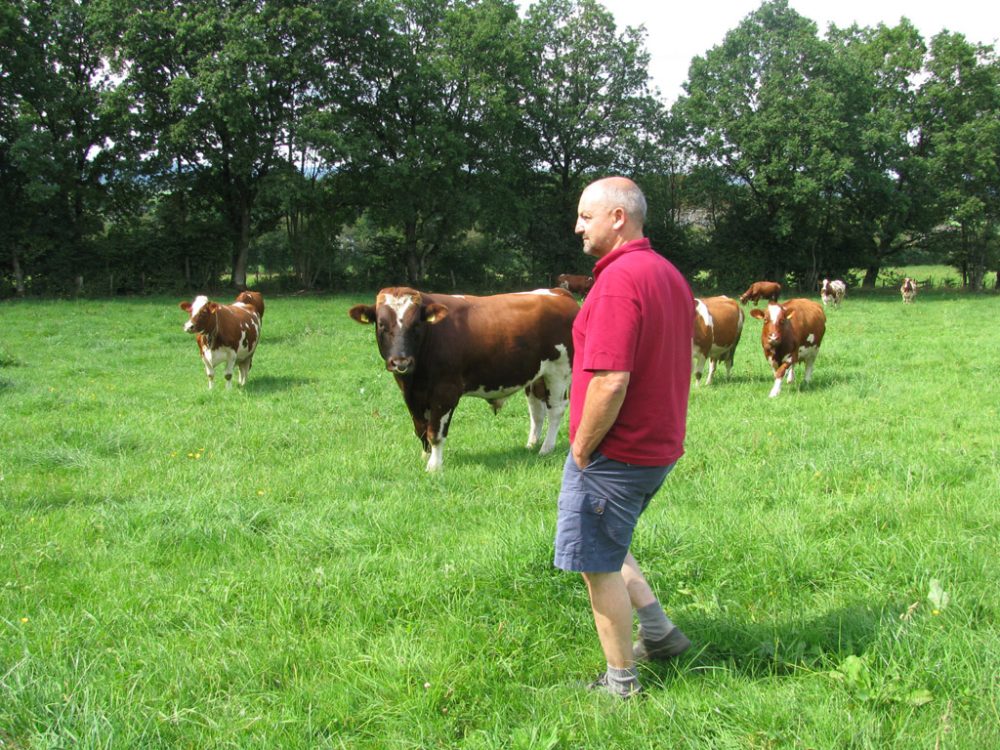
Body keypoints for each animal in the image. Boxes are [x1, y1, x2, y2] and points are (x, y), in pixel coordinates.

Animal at [348, 286, 580, 470]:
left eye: (416, 325)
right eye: (381, 324)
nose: (400, 361)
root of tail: (559, 293)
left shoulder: (445, 392)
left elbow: (435, 432)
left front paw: (434, 466)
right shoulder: (411, 396)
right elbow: (421, 429)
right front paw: (425, 457)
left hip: (559, 370)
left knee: (556, 409)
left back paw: (546, 448)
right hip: (536, 374)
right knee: (537, 410)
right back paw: (531, 444)